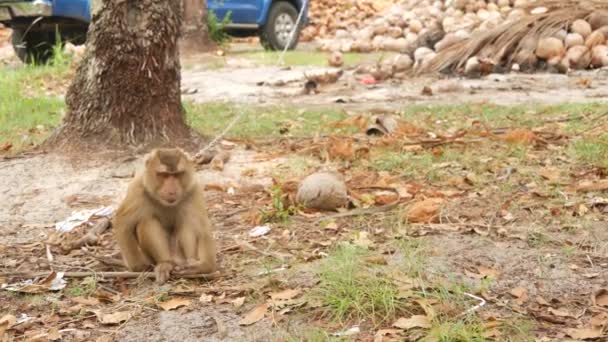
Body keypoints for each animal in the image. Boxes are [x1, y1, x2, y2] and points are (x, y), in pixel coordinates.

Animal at [113, 148, 217, 282]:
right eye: (164, 175)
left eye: (177, 174)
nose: (172, 191)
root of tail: (176, 260)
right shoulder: (137, 188)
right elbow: (123, 224)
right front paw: (139, 267)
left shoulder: (194, 189)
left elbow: (202, 228)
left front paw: (204, 266)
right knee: (146, 222)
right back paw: (165, 263)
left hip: (180, 256)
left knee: (188, 222)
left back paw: (190, 263)